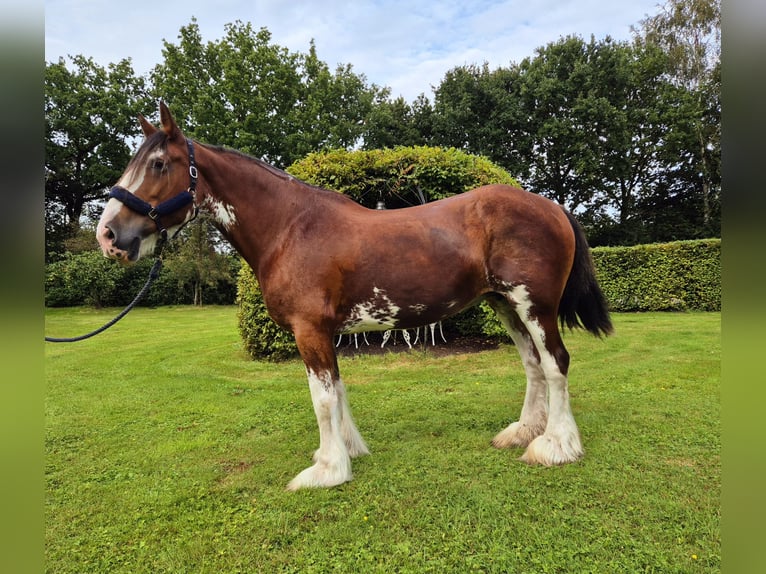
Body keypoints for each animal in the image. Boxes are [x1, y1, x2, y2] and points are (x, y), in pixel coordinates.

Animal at [97, 102, 612, 490]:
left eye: (158, 164)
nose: (108, 235)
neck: (291, 228)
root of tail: (551, 206)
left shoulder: (309, 330)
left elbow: (322, 399)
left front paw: (327, 470)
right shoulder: (327, 333)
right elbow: (338, 391)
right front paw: (346, 451)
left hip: (534, 305)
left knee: (556, 363)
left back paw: (555, 446)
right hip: (505, 305)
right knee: (532, 364)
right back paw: (523, 431)